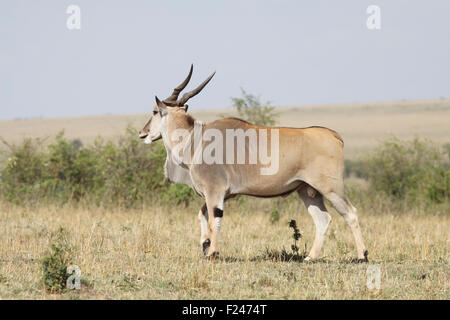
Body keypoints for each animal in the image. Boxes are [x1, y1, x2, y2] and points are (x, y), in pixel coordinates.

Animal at [139, 65, 368, 262]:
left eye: (154, 111)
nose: (142, 133)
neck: (195, 139)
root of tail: (334, 136)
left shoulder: (215, 192)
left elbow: (214, 220)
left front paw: (212, 252)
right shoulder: (218, 194)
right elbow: (202, 215)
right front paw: (205, 246)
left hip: (331, 188)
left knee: (351, 213)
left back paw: (362, 256)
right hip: (307, 191)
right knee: (323, 220)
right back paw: (310, 258)